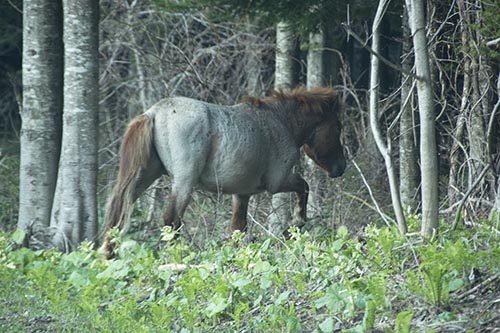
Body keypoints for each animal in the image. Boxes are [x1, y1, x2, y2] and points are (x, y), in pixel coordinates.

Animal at [99, 85, 346, 254]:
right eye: (337, 127)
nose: (341, 168)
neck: (281, 122)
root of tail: (153, 113)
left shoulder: (242, 194)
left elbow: (238, 229)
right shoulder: (279, 181)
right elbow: (304, 188)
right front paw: (296, 223)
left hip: (143, 177)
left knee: (118, 212)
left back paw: (108, 254)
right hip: (183, 183)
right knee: (171, 220)